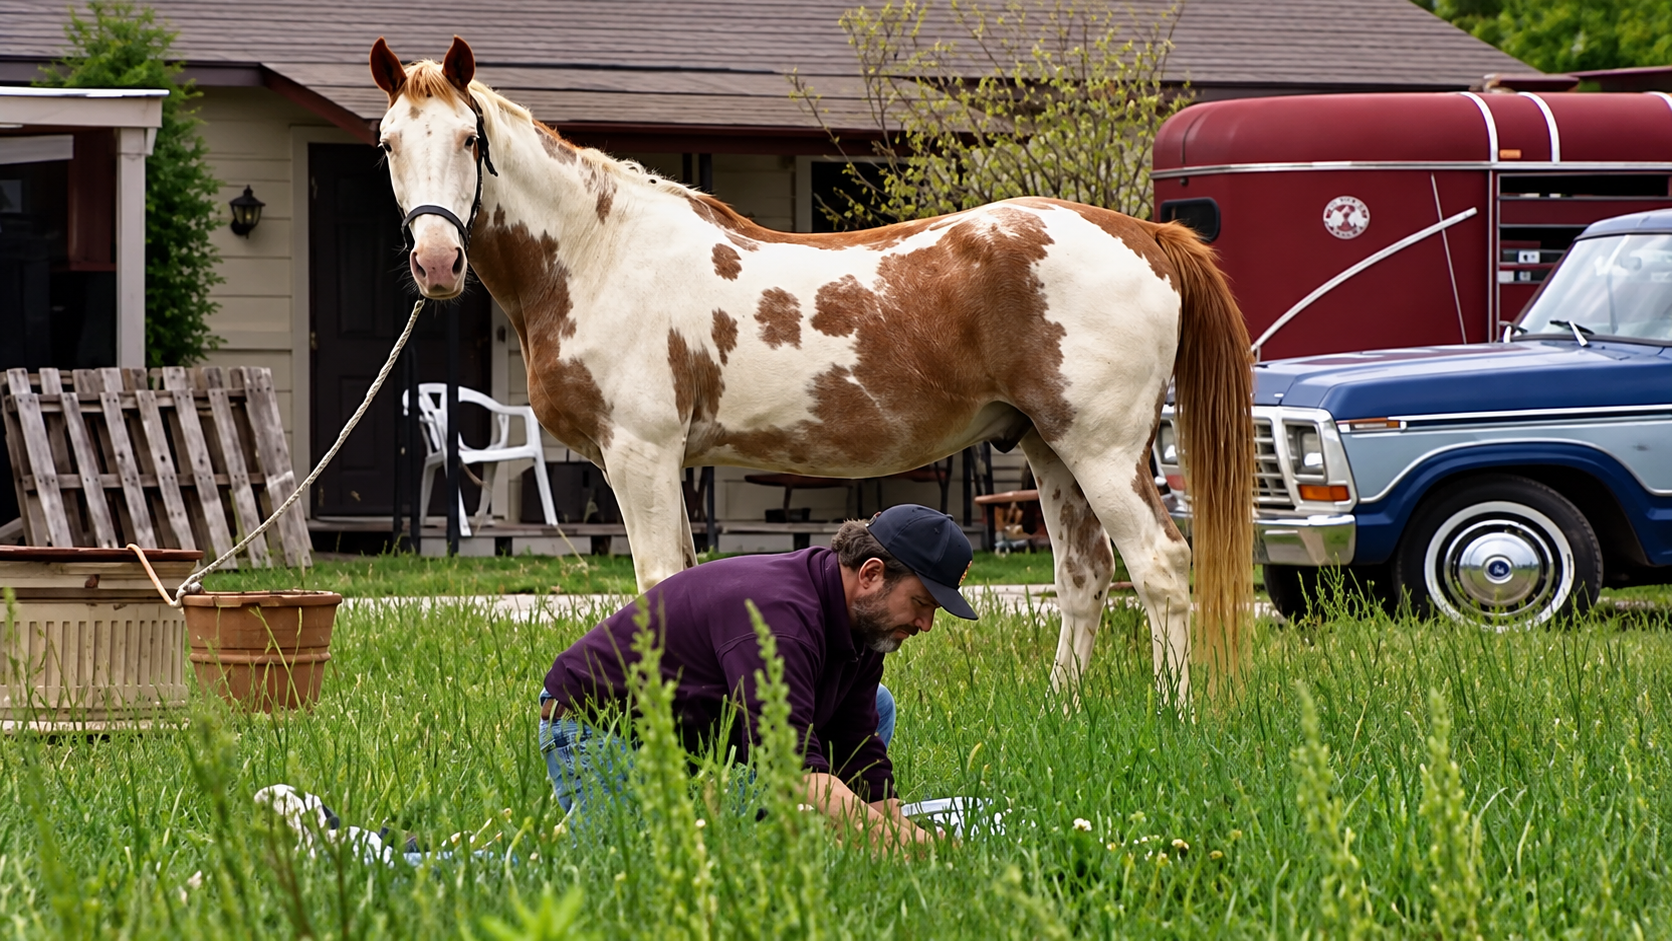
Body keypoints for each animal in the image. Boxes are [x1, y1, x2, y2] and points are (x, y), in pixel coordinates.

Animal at [368, 37, 1254, 700]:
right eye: (388, 144)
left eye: (469, 139)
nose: (437, 261)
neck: (599, 250)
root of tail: (1149, 235)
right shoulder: (667, 463)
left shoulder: (640, 455)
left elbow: (656, 585)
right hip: (1047, 446)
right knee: (1084, 574)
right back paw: (1060, 710)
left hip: (1102, 448)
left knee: (1161, 567)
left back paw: (1177, 712)